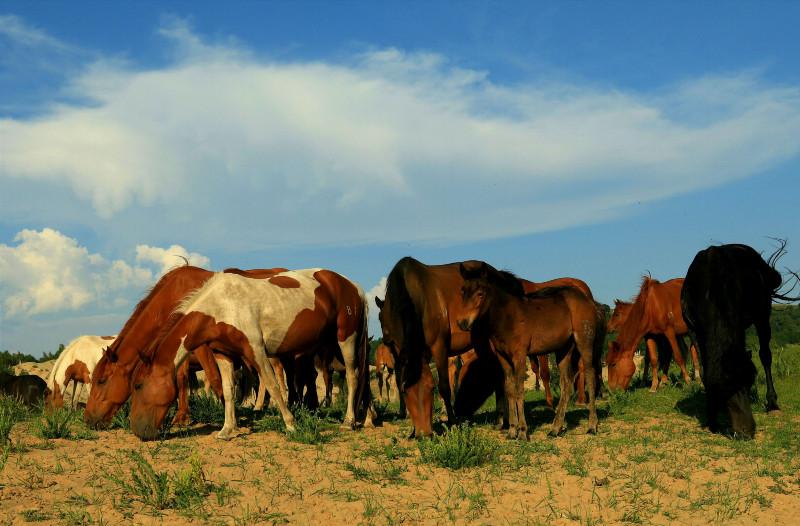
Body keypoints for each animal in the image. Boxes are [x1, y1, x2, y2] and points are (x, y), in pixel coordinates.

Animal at [83, 266, 284, 432]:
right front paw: (182, 417)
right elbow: (181, 379)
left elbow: (214, 377)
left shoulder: (201, 347)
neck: (175, 296)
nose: (88, 419)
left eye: (101, 380)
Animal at [128, 268, 372, 442]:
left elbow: (273, 386)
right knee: (363, 379)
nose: (138, 431)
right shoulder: (223, 354)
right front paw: (227, 430)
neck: (221, 306)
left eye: (138, 385)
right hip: (333, 343)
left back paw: (349, 421)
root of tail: (353, 286)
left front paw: (290, 424)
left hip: (345, 340)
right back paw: (368, 419)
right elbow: (228, 391)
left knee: (353, 376)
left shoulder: (256, 350)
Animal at [454, 264, 604, 442]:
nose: (462, 323)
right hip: (564, 350)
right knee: (566, 384)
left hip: (584, 343)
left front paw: (523, 431)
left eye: (480, 293)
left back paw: (592, 426)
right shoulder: (503, 358)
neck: (508, 317)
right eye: (462, 291)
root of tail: (589, 301)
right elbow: (509, 389)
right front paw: (512, 430)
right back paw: (555, 429)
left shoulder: (519, 355)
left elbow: (519, 390)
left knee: (590, 376)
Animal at [680, 243, 796, 438]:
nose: (746, 431)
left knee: (765, 355)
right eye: (725, 387)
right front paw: (712, 417)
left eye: (749, 382)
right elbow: (705, 369)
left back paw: (772, 404)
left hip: (762, 314)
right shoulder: (694, 331)